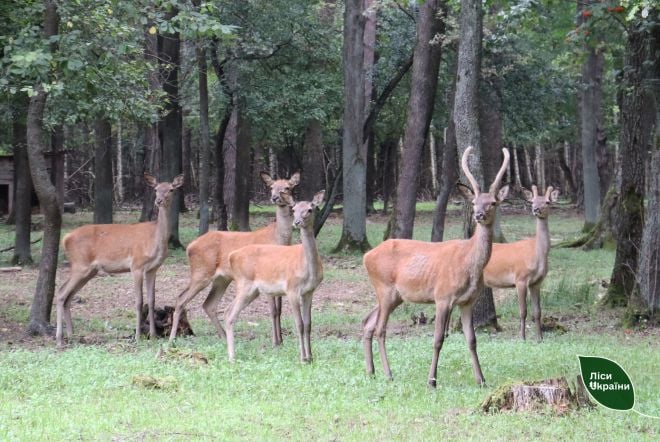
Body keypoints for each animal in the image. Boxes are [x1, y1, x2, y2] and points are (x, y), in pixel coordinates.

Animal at [56, 174, 183, 348]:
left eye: (171, 189)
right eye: (156, 189)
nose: (159, 201)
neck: (156, 240)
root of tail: (65, 238)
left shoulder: (153, 268)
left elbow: (151, 300)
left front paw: (153, 336)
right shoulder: (136, 265)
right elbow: (139, 301)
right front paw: (137, 336)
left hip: (89, 271)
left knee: (68, 296)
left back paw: (72, 335)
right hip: (80, 265)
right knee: (61, 293)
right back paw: (60, 339)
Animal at [166, 171, 300, 344]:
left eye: (287, 187)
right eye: (272, 187)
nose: (275, 197)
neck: (277, 239)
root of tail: (190, 246)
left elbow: (280, 309)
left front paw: (281, 340)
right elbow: (274, 310)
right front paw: (276, 342)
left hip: (222, 278)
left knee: (208, 304)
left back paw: (223, 336)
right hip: (201, 272)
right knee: (181, 299)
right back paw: (172, 339)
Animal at [226, 191, 326, 362]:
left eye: (310, 209)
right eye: (293, 209)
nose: (297, 222)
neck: (307, 268)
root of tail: (232, 256)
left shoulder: (309, 291)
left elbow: (308, 324)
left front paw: (311, 357)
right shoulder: (291, 289)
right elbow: (299, 325)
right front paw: (303, 358)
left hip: (252, 290)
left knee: (227, 311)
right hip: (244, 283)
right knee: (230, 316)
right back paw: (233, 357)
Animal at [364, 147, 508, 386]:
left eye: (493, 203)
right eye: (474, 202)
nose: (479, 215)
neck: (470, 265)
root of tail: (366, 256)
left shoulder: (467, 301)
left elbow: (472, 340)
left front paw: (481, 379)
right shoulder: (442, 296)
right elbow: (438, 339)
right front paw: (431, 380)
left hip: (394, 295)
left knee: (367, 322)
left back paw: (371, 371)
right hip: (384, 288)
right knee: (380, 329)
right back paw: (388, 373)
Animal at [482, 185, 560, 340]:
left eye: (547, 201)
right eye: (532, 201)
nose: (536, 209)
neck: (537, 253)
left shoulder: (537, 282)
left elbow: (537, 312)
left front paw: (539, 338)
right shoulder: (520, 278)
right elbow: (523, 311)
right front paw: (522, 337)